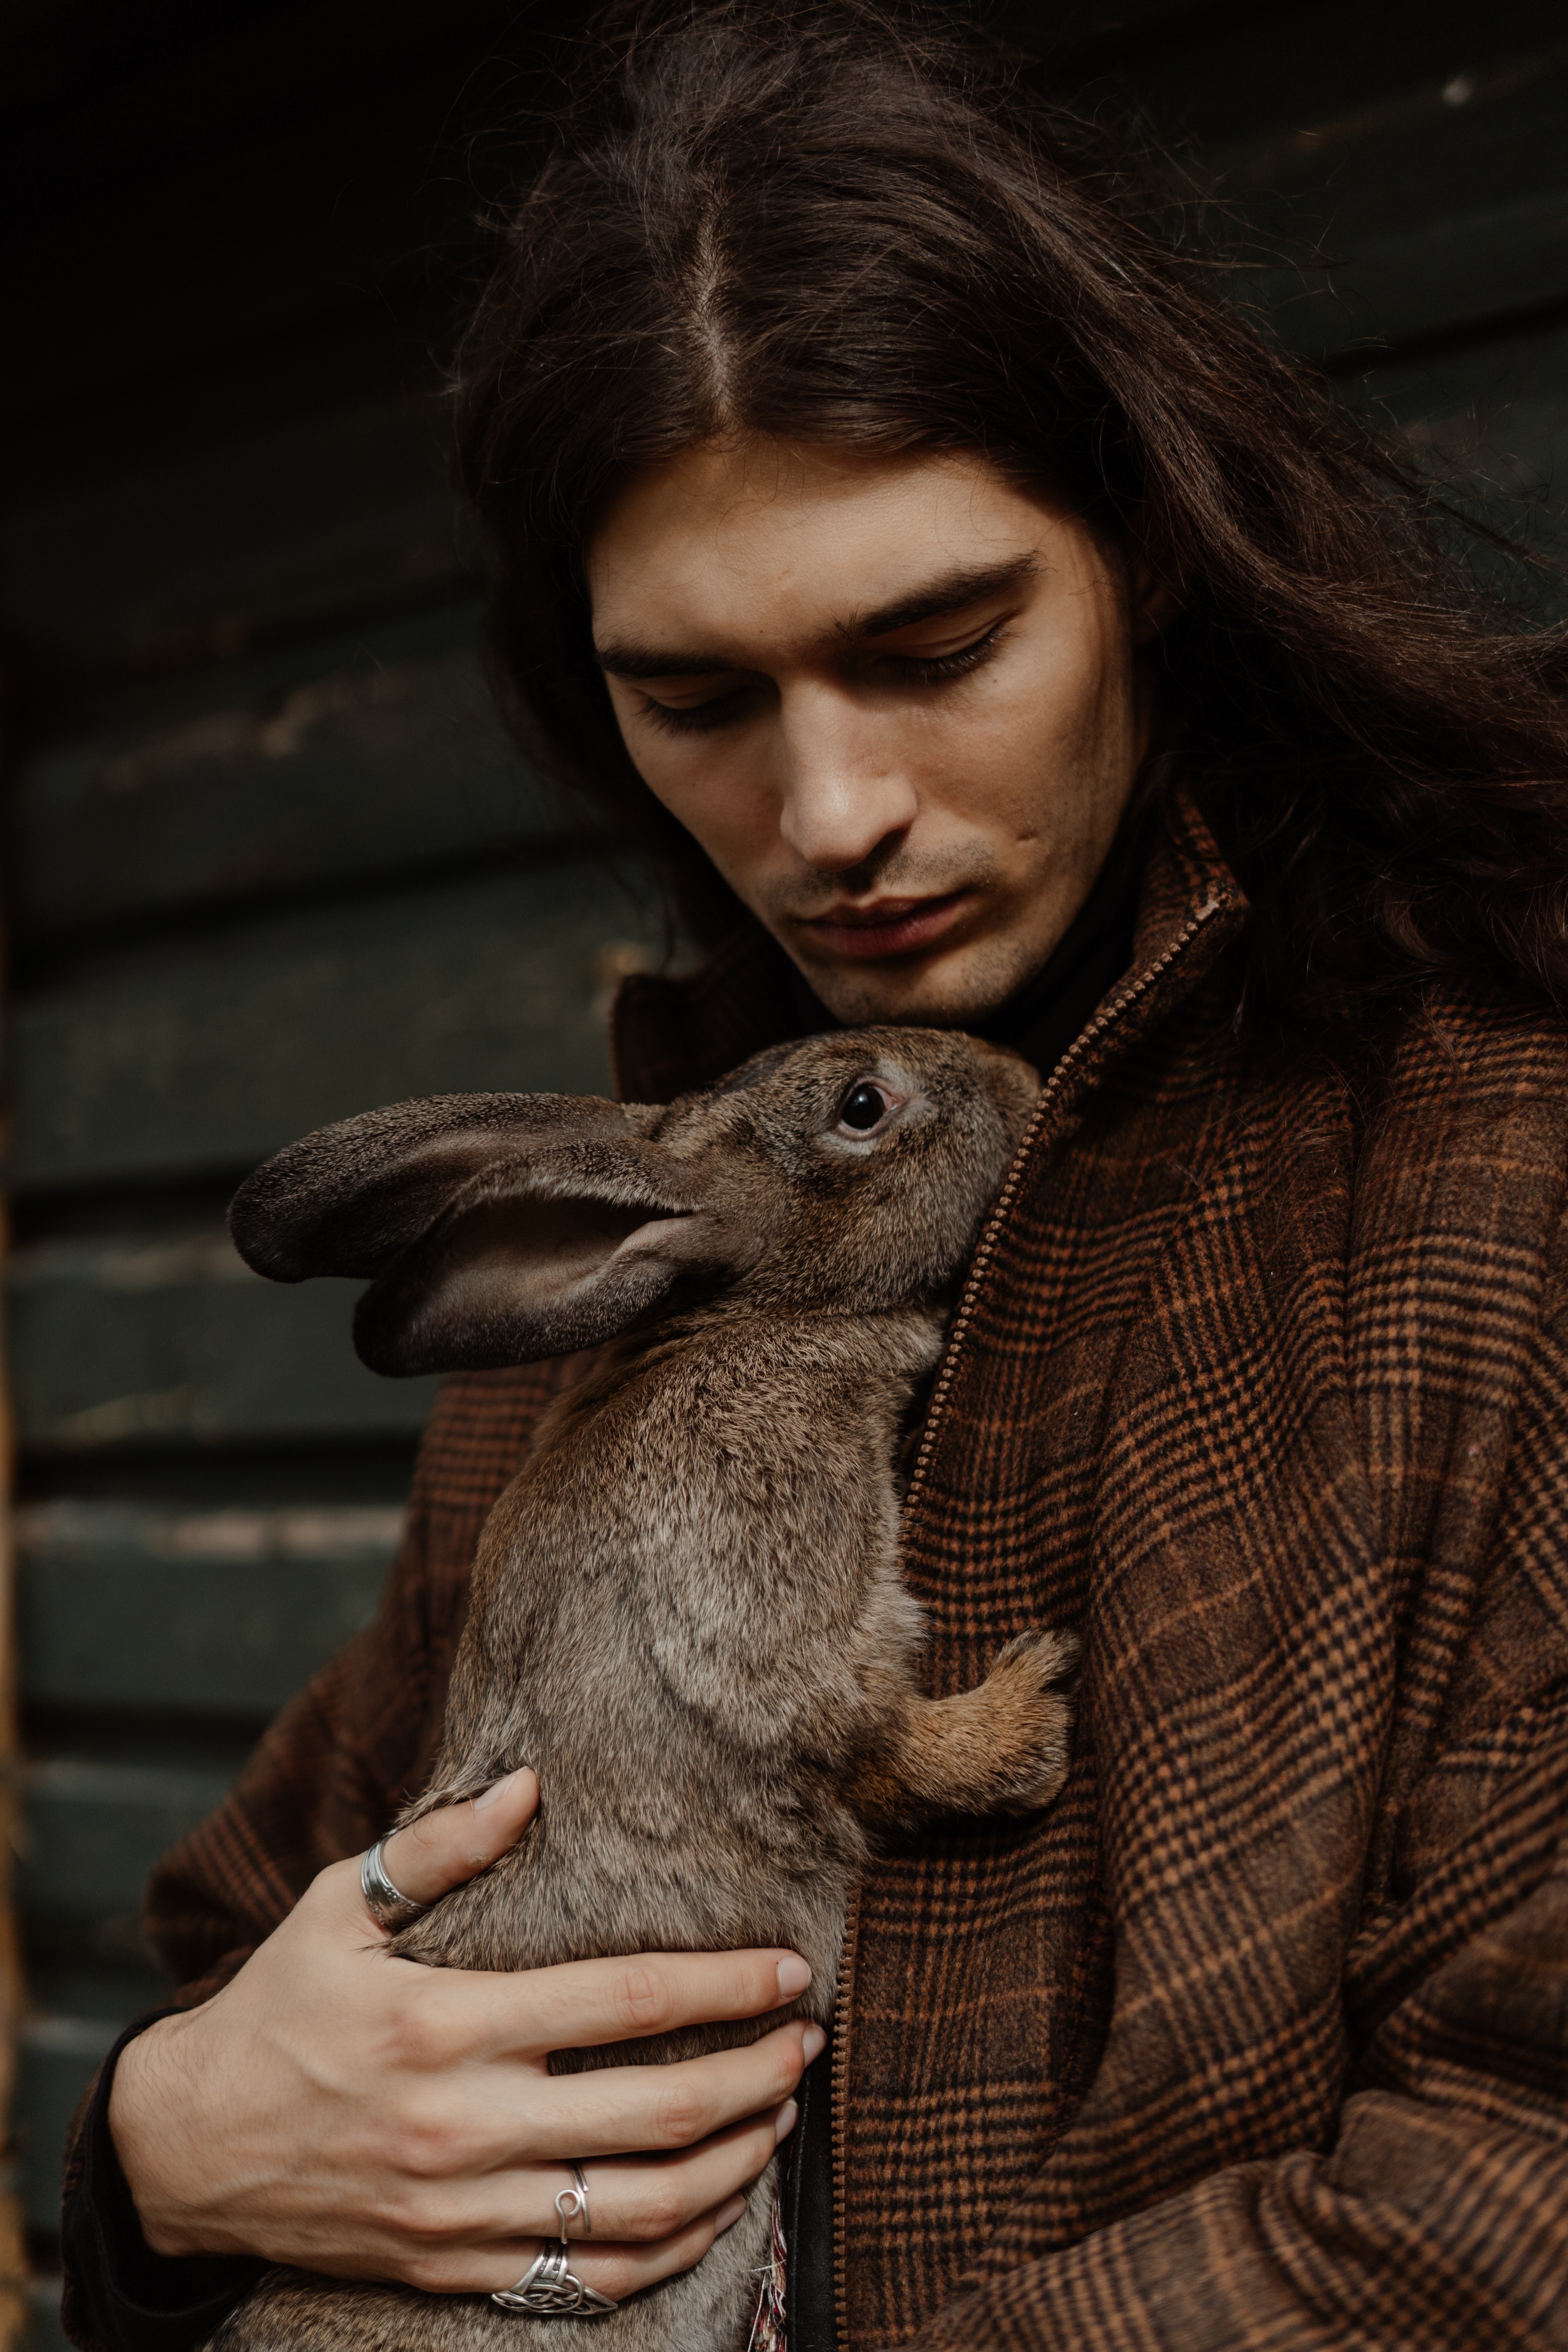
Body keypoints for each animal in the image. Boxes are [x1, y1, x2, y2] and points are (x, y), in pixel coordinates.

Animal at [213, 1025, 1081, 2352]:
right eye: (862, 1104)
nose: (1014, 1073)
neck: (759, 1314)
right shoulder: (760, 1585)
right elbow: (862, 1729)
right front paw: (1029, 1714)